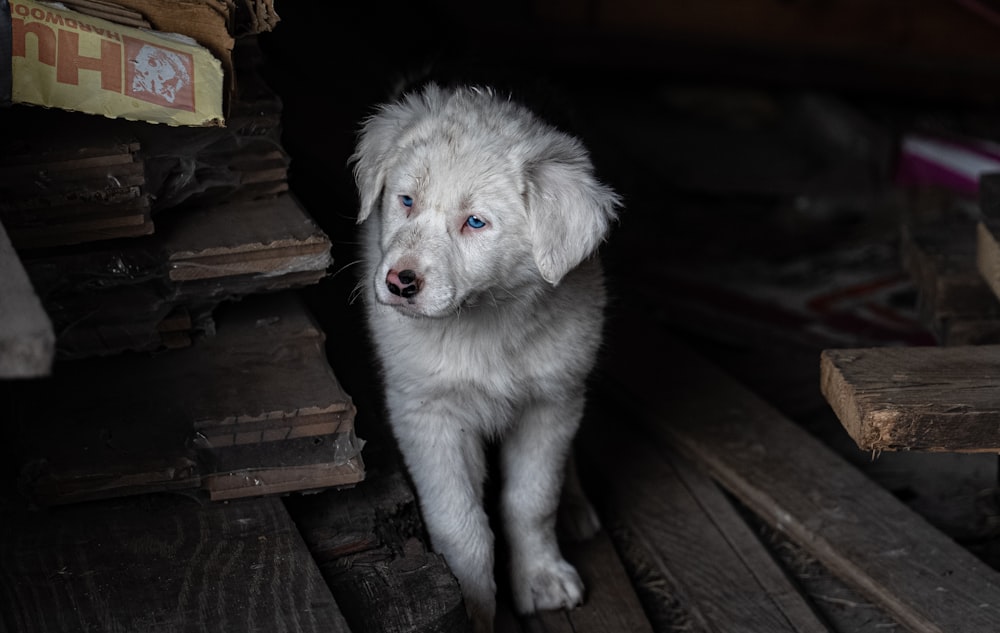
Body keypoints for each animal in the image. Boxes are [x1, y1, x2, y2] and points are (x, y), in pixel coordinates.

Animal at [350, 85, 616, 632]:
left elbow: (531, 501)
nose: (399, 283)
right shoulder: (428, 412)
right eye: (406, 201)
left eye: (475, 222)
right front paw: (471, 605)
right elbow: (461, 522)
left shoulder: (551, 402)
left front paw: (540, 578)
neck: (485, 320)